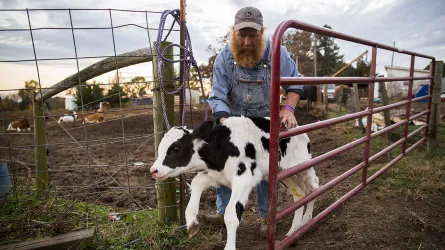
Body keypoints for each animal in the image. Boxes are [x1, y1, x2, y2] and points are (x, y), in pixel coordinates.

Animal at [151, 117, 318, 250]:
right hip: (284, 174)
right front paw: (192, 223)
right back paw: (293, 231)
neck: (223, 146)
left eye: (176, 148)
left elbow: (231, 215)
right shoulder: (216, 175)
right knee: (299, 194)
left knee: (313, 188)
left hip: (303, 166)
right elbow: (197, 181)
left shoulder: (244, 180)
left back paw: (307, 220)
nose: (154, 170)